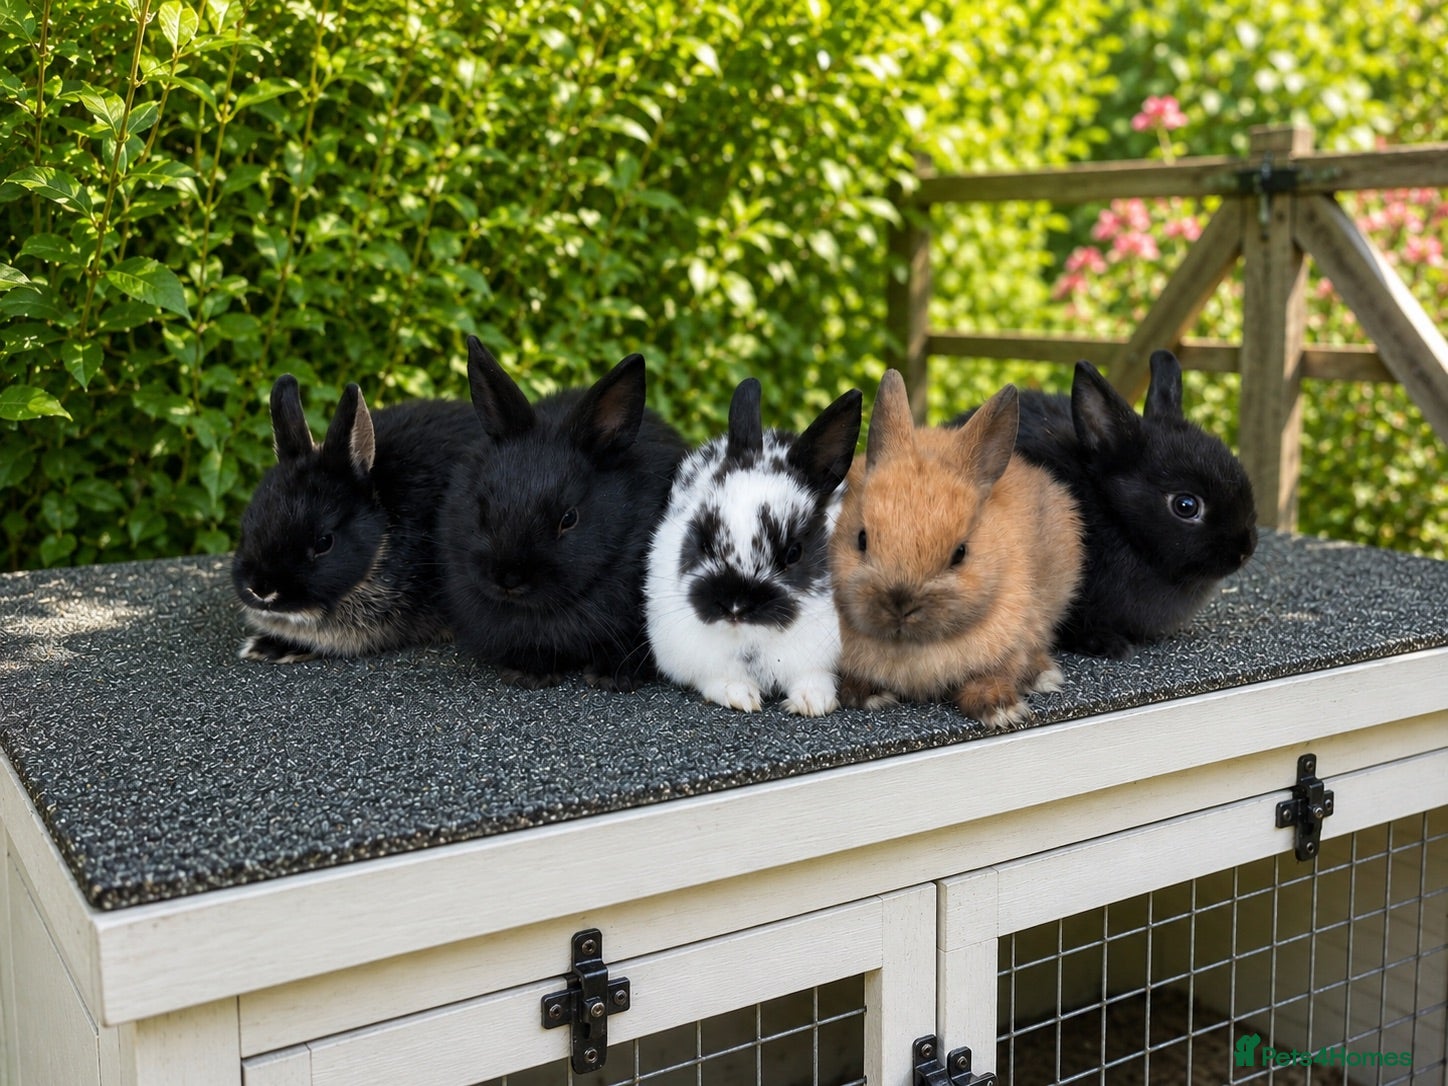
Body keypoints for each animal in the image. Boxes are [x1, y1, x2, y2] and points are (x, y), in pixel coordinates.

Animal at [644, 378, 863, 716]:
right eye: (705, 543)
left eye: (794, 553)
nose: (734, 606)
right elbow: (719, 678)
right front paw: (740, 697)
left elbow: (813, 676)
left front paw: (812, 703)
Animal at [831, 370, 1084, 731]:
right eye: (861, 539)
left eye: (961, 553)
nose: (900, 604)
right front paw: (868, 695)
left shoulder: (1017, 636)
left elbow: (997, 672)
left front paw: (999, 710)